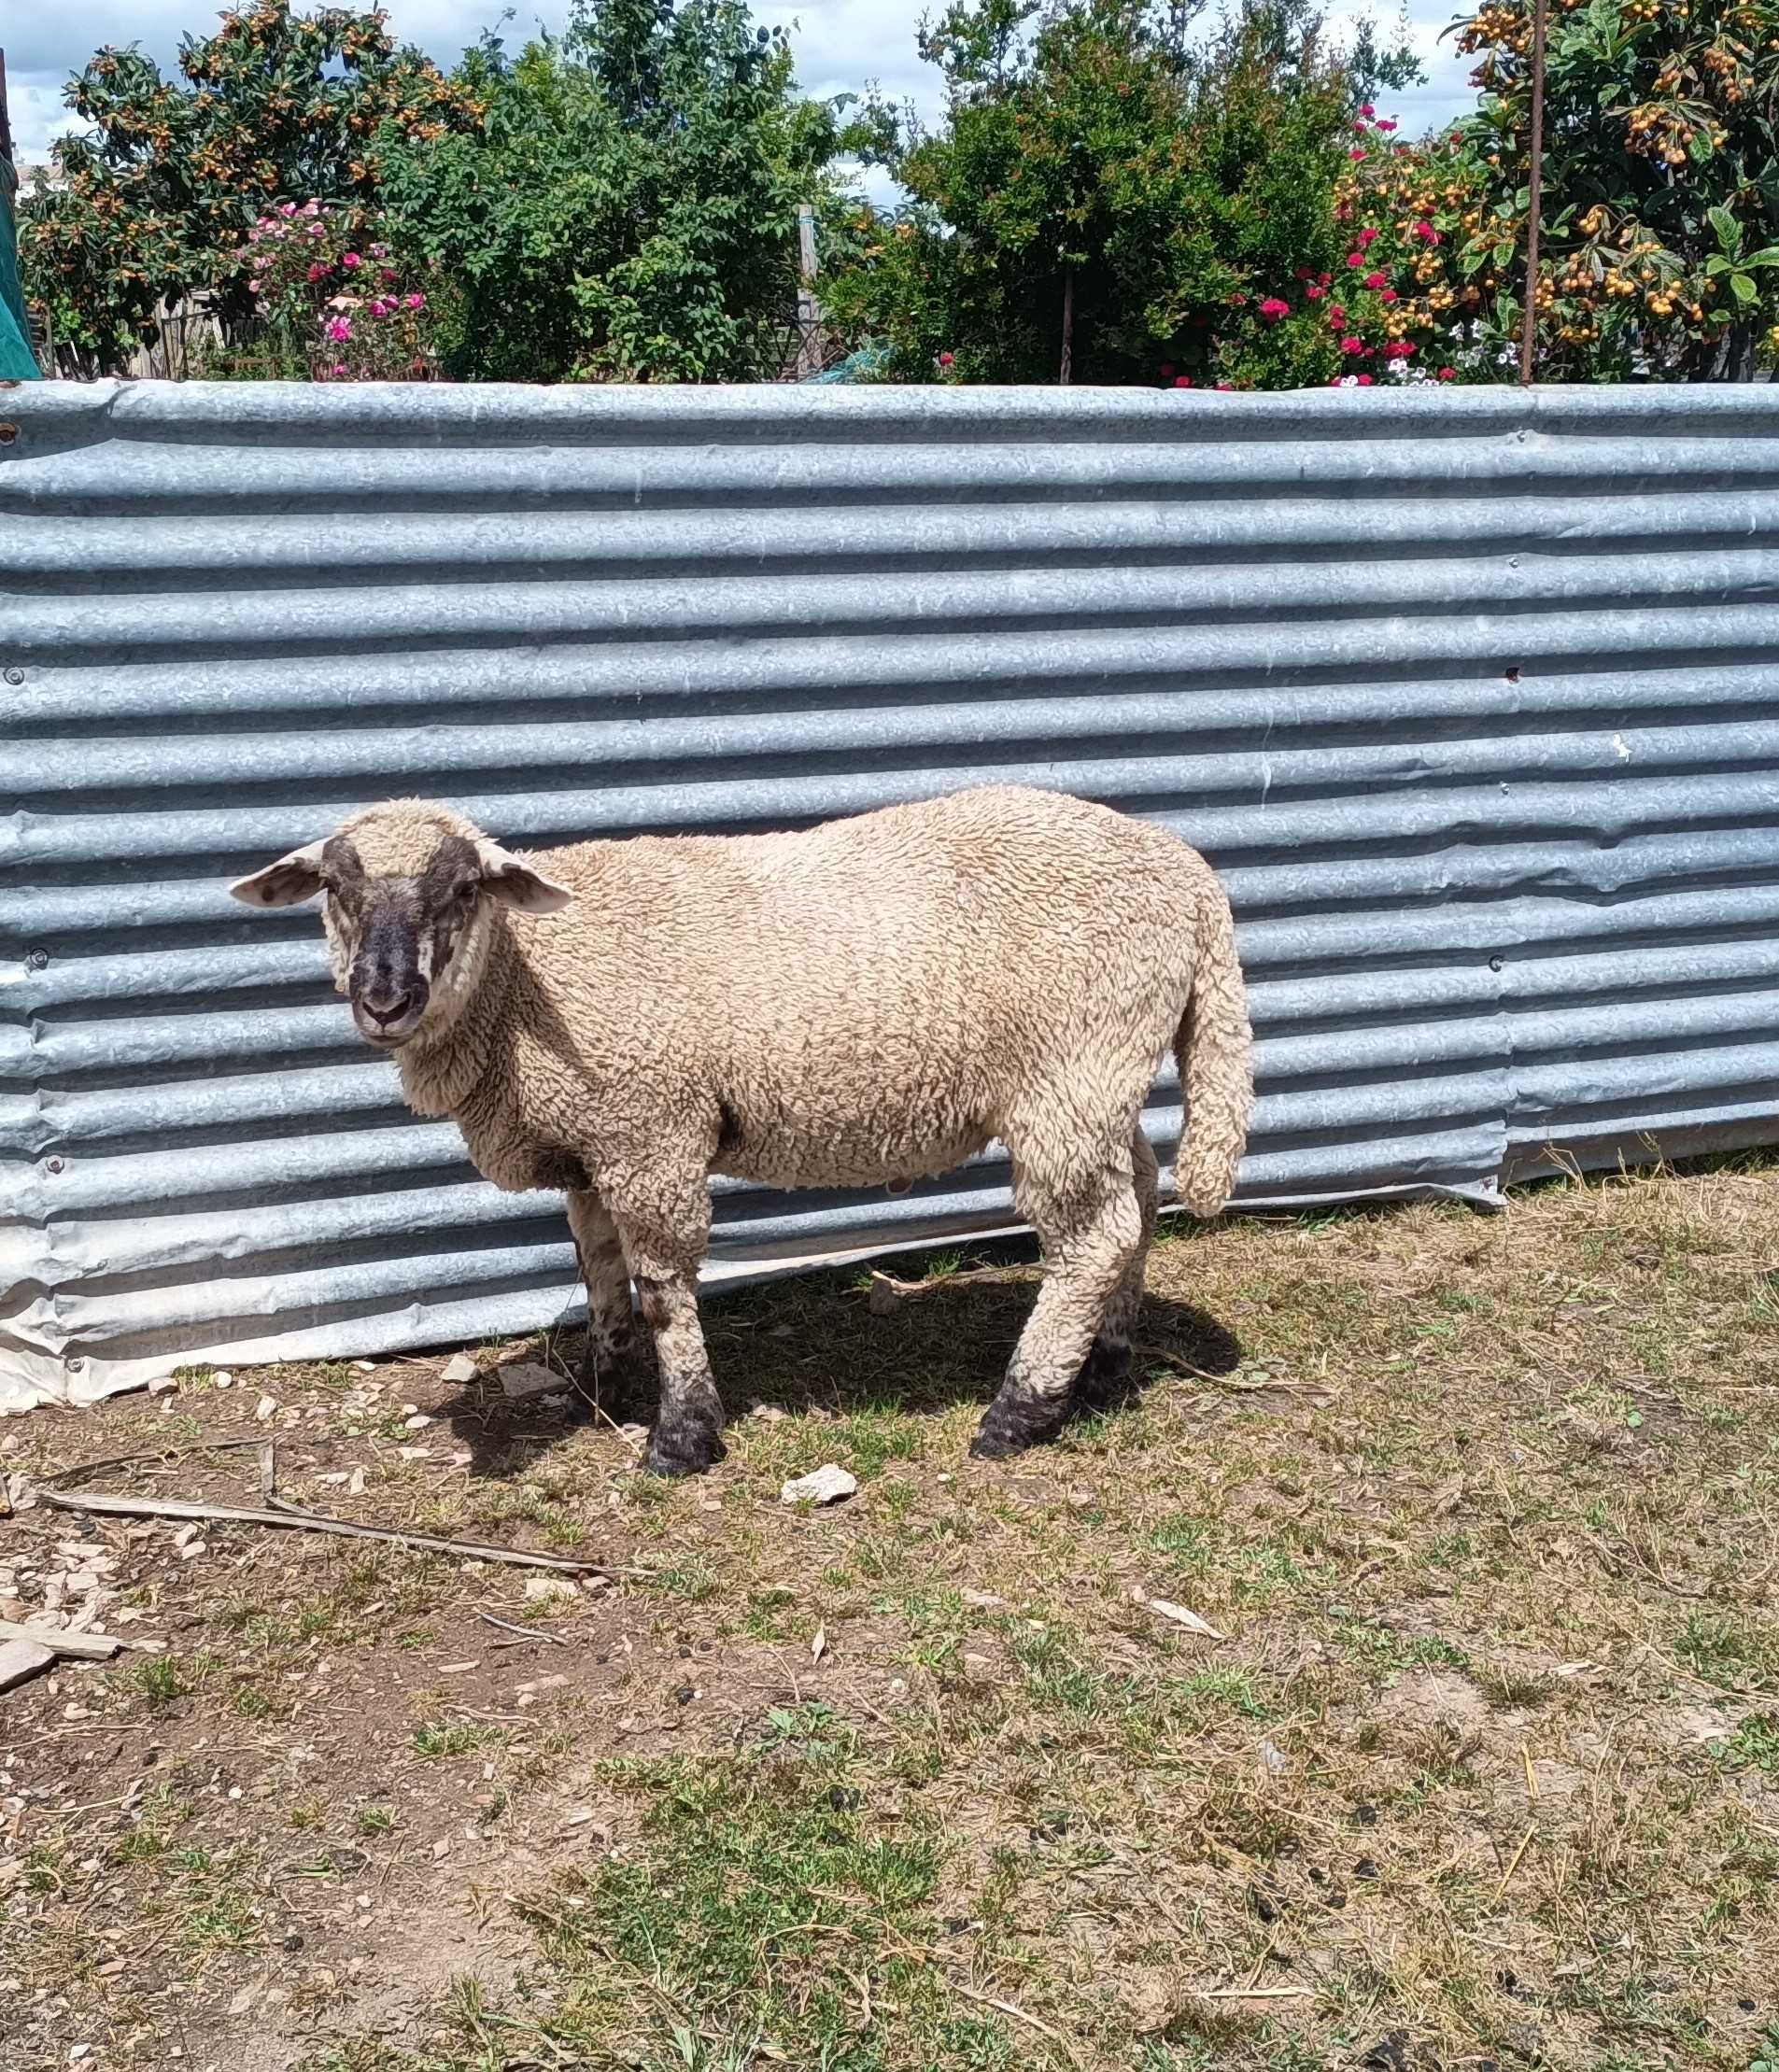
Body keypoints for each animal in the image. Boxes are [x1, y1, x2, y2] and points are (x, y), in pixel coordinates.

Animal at [232, 779, 1244, 1474]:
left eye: (463, 889)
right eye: (335, 887)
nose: (384, 999)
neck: (527, 982)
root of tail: (1188, 873)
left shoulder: (651, 1130)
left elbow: (661, 1288)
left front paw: (680, 1437)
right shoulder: (595, 1146)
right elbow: (597, 1269)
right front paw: (600, 1388)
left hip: (1068, 1069)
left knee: (1091, 1236)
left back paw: (1018, 1411)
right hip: (1102, 1077)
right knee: (1137, 1199)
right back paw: (1103, 1367)